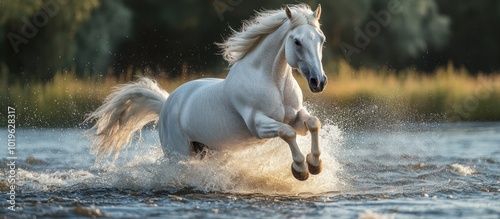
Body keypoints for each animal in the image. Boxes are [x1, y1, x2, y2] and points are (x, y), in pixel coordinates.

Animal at [86, 3, 328, 181]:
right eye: (296, 41)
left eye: (321, 39)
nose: (318, 82)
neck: (273, 82)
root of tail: (166, 103)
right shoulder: (257, 124)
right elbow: (287, 132)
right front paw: (300, 169)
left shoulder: (296, 116)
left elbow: (313, 123)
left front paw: (315, 164)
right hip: (178, 153)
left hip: (209, 150)